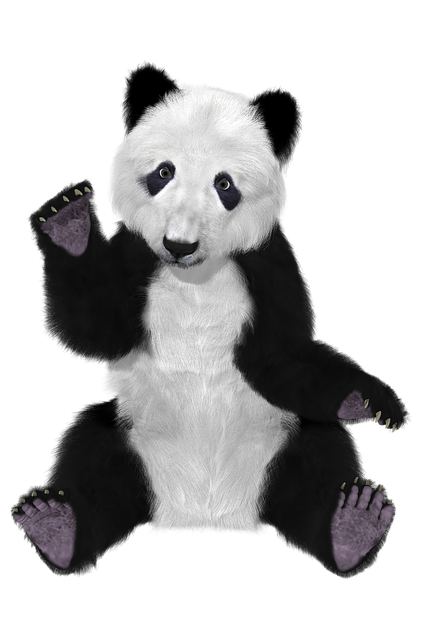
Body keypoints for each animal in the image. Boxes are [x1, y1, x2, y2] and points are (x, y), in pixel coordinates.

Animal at [13, 82, 410, 574]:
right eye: (163, 172)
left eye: (225, 185)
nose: (179, 245)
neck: (195, 275)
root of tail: (204, 513)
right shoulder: (137, 254)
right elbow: (96, 330)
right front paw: (68, 222)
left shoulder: (267, 263)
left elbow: (283, 354)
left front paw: (368, 400)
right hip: (133, 433)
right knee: (90, 453)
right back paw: (55, 524)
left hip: (278, 439)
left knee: (323, 455)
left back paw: (353, 523)